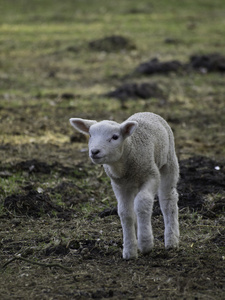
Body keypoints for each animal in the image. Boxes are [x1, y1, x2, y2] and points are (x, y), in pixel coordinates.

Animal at [70, 112, 179, 260]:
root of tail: (147, 112)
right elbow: (125, 212)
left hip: (169, 161)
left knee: (168, 199)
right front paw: (129, 251)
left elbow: (143, 202)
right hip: (134, 184)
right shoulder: (119, 185)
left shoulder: (152, 175)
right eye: (90, 135)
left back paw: (172, 240)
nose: (95, 151)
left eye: (115, 137)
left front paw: (145, 243)